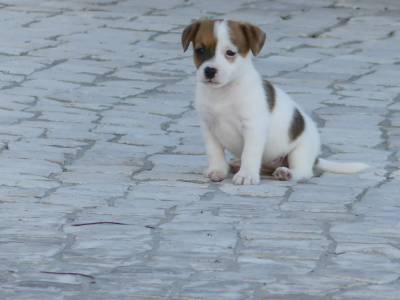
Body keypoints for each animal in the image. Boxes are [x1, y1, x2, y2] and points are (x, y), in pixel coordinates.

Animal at [181, 19, 368, 185]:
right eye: (200, 50)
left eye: (230, 53)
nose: (210, 71)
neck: (223, 92)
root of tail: (315, 158)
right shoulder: (209, 127)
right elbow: (215, 152)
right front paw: (218, 170)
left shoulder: (253, 127)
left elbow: (250, 153)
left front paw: (246, 175)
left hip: (300, 151)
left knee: (304, 172)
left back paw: (287, 174)